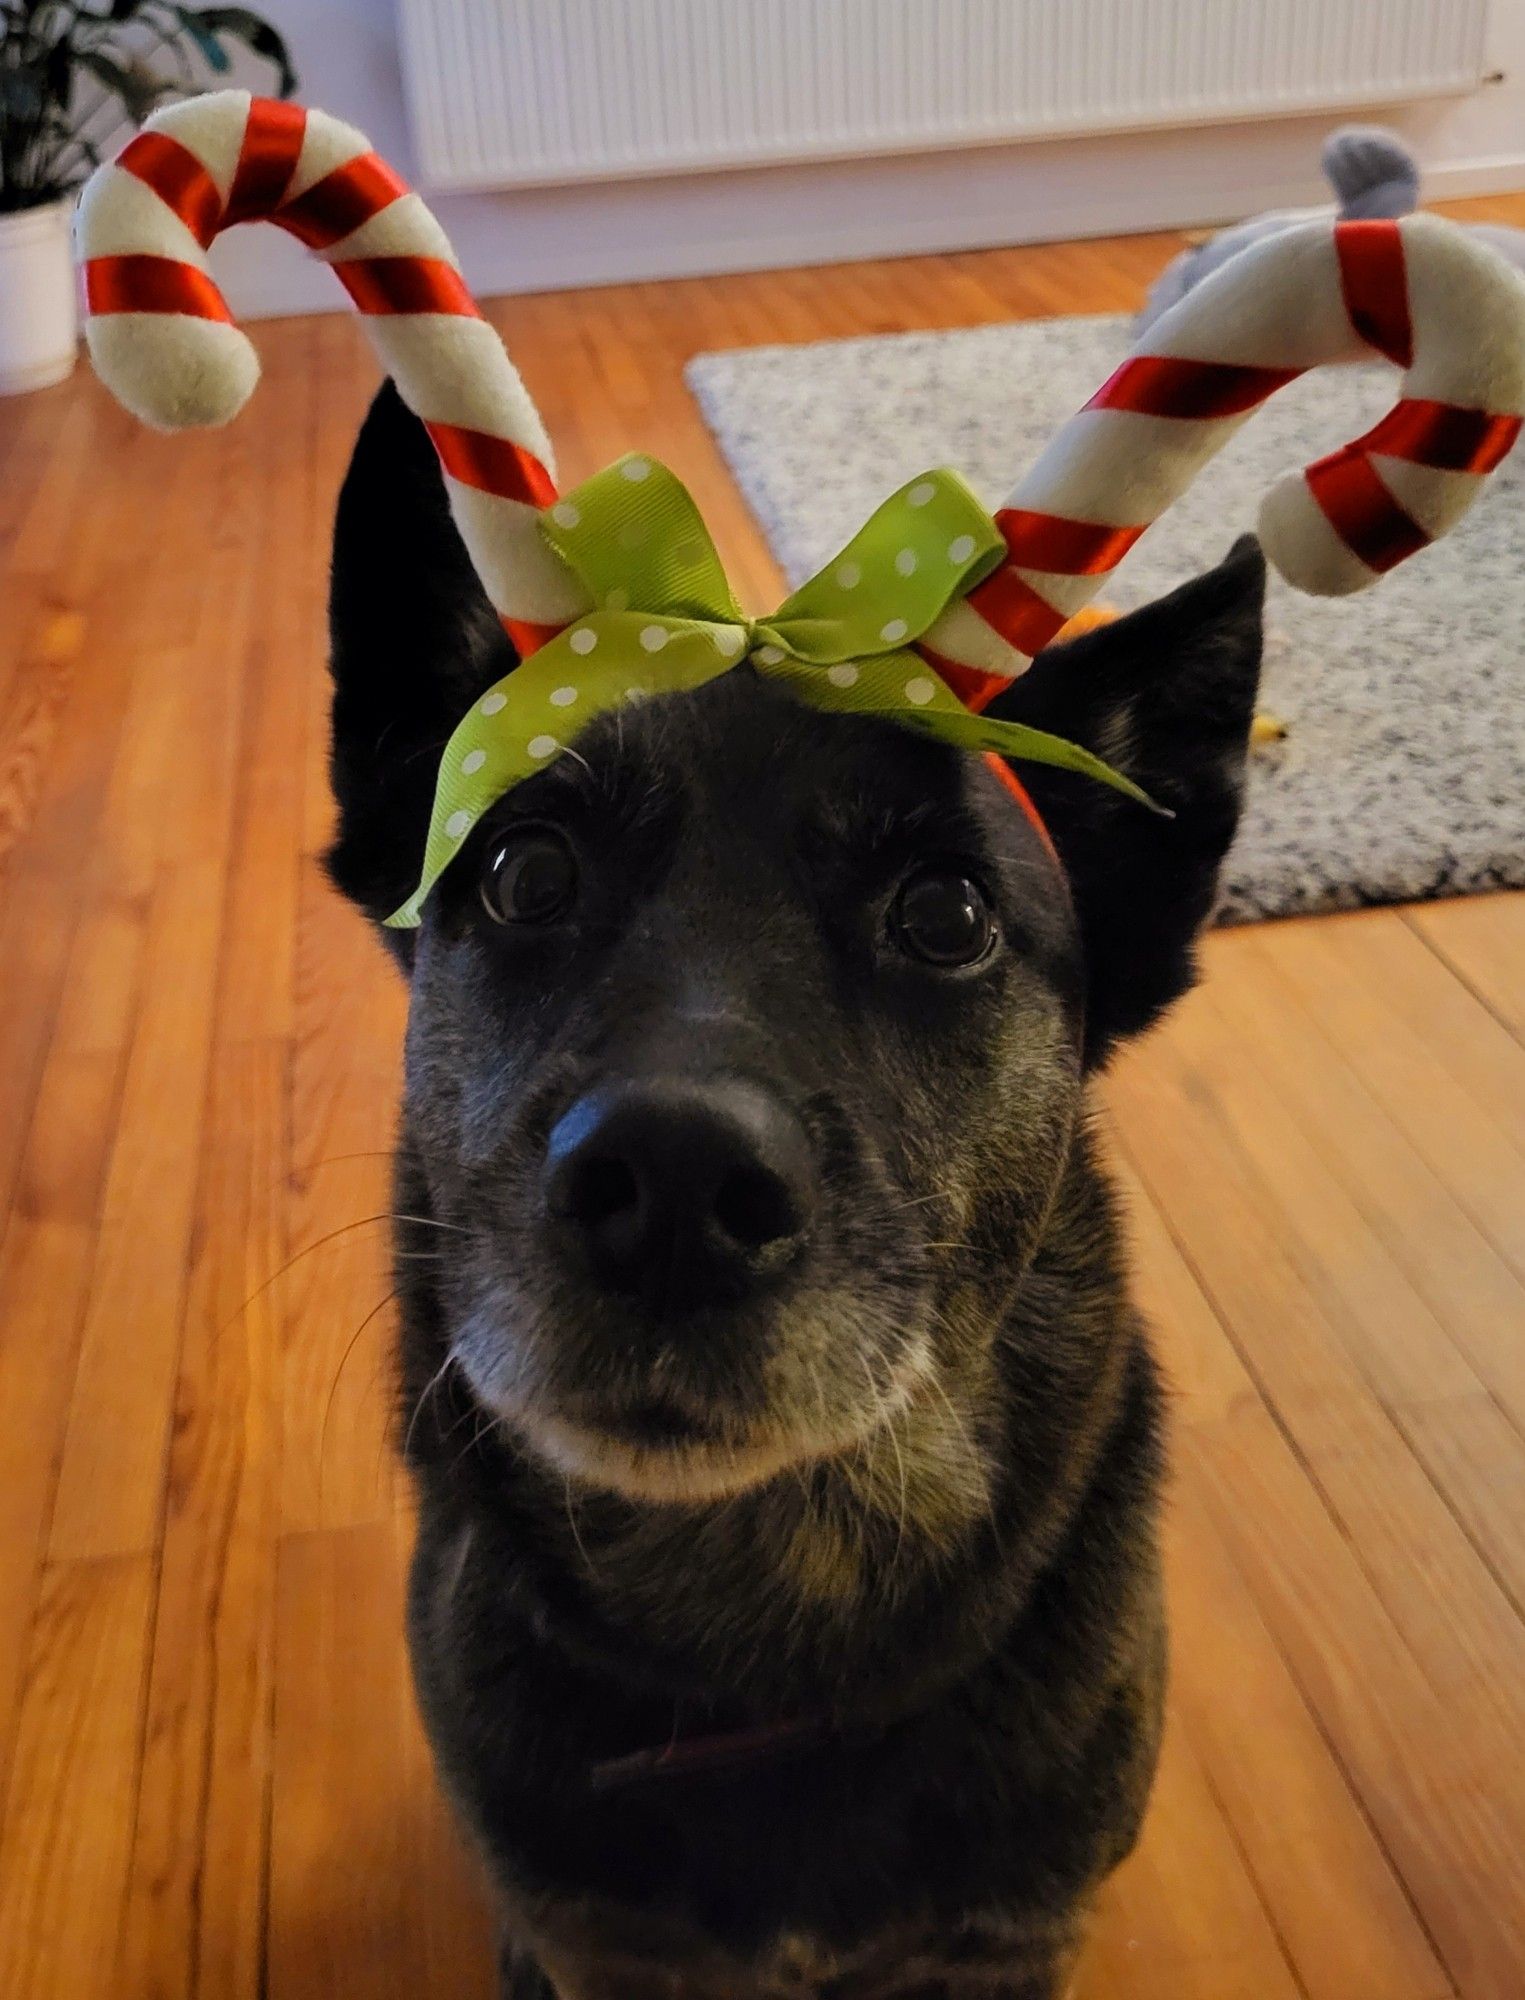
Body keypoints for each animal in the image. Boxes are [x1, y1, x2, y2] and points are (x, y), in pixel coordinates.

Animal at [330, 386, 1256, 2000]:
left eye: (946, 912)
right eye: (521, 871)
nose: (674, 1181)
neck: (760, 1642)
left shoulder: (1008, 1941)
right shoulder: (605, 1950)